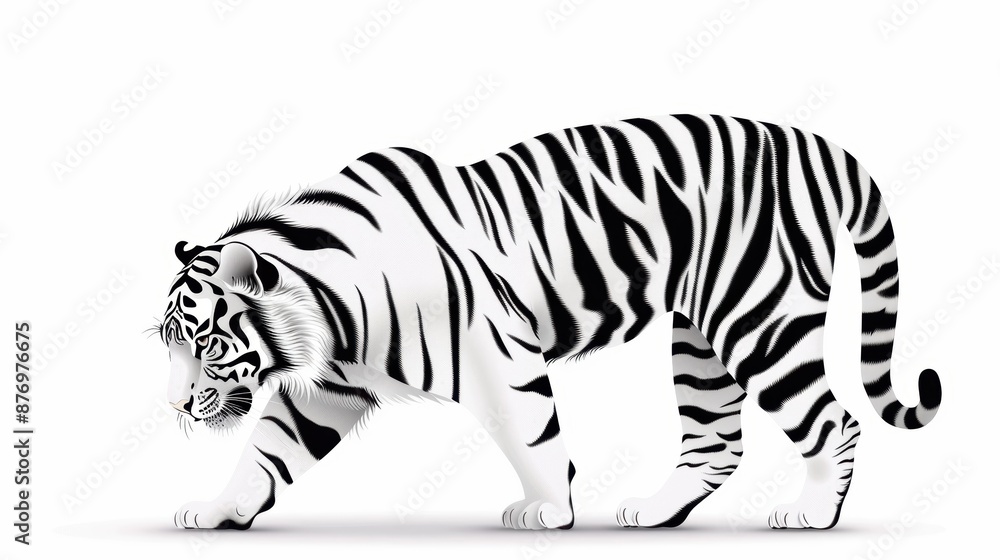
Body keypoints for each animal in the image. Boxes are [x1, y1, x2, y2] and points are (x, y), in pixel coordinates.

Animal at [158, 114, 942, 531]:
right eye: (170, 346)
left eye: (205, 343)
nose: (174, 408)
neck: (332, 313)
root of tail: (817, 145)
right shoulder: (334, 385)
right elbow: (267, 451)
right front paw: (221, 509)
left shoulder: (498, 351)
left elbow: (534, 434)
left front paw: (548, 511)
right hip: (698, 341)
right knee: (717, 440)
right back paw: (654, 512)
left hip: (761, 321)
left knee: (835, 420)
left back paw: (811, 514)